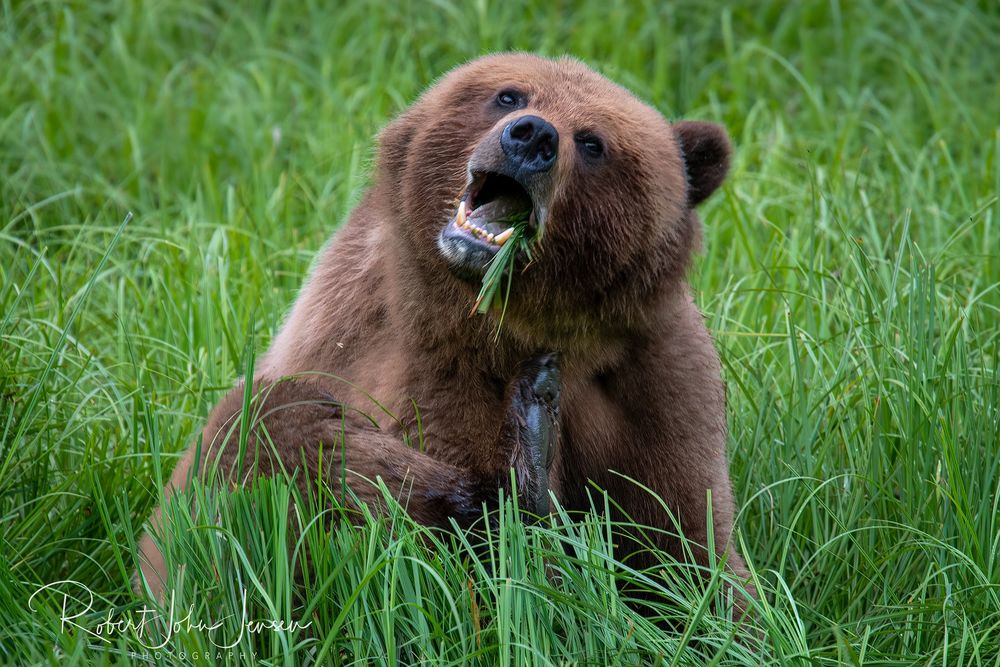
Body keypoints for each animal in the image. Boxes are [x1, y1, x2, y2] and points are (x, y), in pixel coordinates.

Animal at [139, 51, 752, 604]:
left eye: (594, 142)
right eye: (509, 95)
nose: (532, 137)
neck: (491, 322)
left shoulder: (658, 383)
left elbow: (688, 556)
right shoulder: (359, 330)